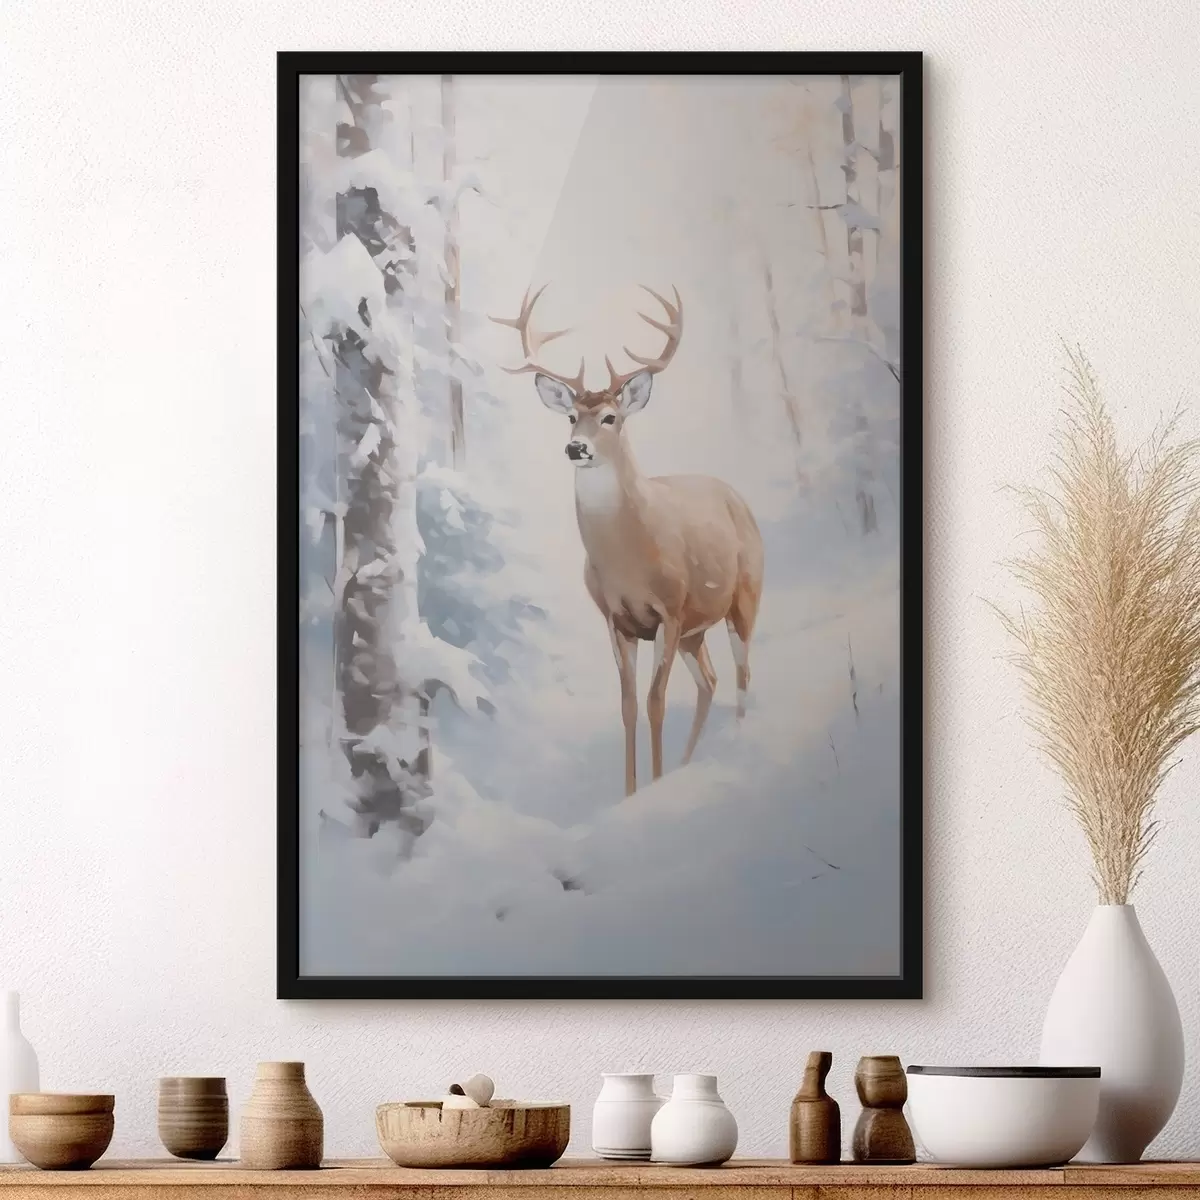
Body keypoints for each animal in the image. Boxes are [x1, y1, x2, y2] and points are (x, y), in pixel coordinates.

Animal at [493, 284, 764, 797]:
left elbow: (656, 702)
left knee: (743, 673)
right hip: (696, 632)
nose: (575, 448)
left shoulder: (670, 610)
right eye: (571, 416)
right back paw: (686, 764)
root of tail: (738, 496)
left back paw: (734, 743)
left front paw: (651, 787)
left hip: (743, 596)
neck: (627, 560)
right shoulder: (617, 619)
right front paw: (631, 791)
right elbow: (628, 705)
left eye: (610, 417)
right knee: (710, 680)